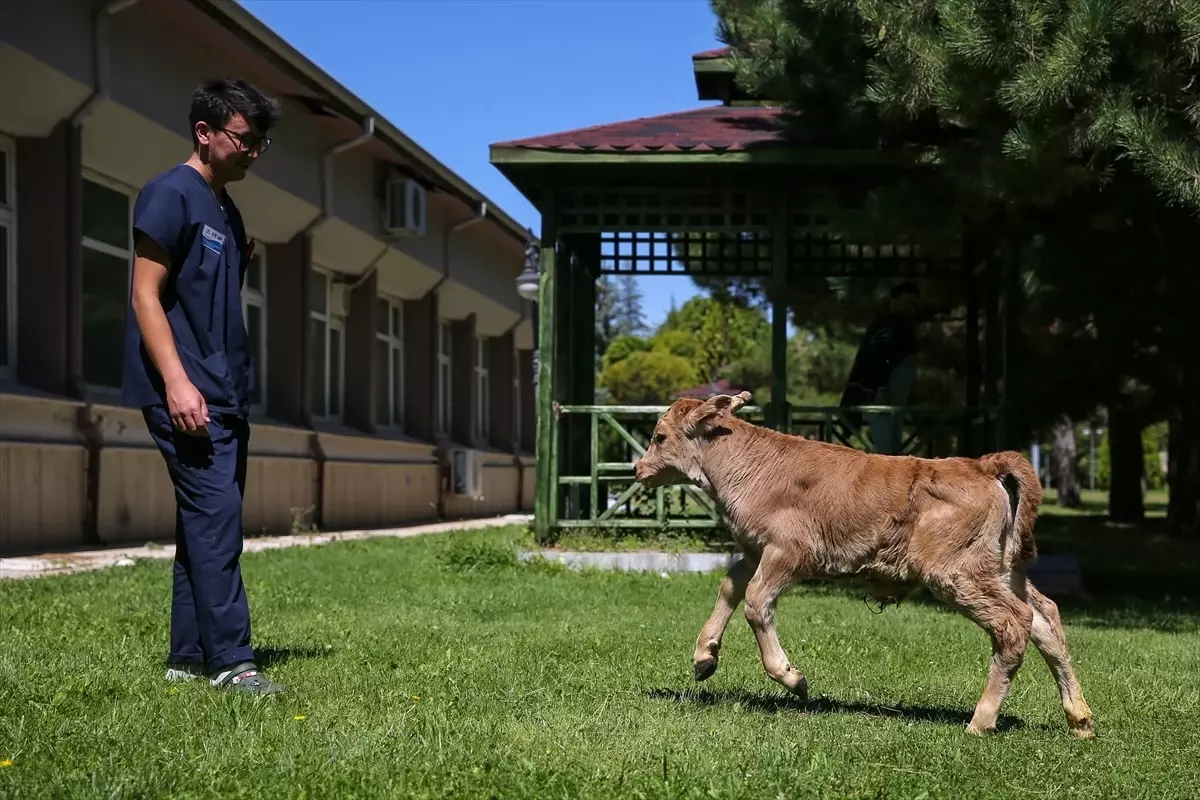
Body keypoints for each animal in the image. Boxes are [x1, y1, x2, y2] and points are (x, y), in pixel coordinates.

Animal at [638, 388, 1099, 738]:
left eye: (659, 436)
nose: (638, 468)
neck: (752, 463)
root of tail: (981, 465)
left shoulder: (786, 552)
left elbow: (755, 602)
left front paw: (793, 679)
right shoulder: (754, 550)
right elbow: (730, 587)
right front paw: (704, 658)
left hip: (958, 575)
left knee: (1013, 624)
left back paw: (981, 721)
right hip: (1003, 571)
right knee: (1045, 618)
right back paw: (1079, 720)